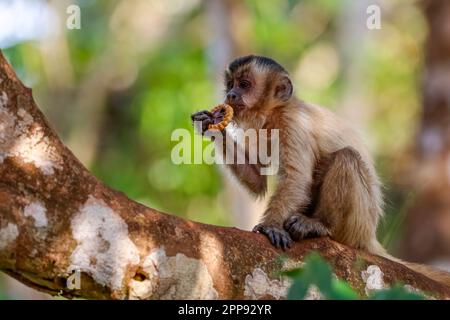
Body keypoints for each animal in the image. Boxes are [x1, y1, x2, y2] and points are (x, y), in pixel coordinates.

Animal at [192, 54, 450, 284]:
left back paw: (320, 225)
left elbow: (296, 179)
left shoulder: (293, 122)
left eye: (244, 85)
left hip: (357, 224)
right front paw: (210, 124)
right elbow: (258, 182)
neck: (275, 113)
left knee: (347, 158)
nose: (230, 94)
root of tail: (370, 236)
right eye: (231, 84)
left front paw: (269, 227)